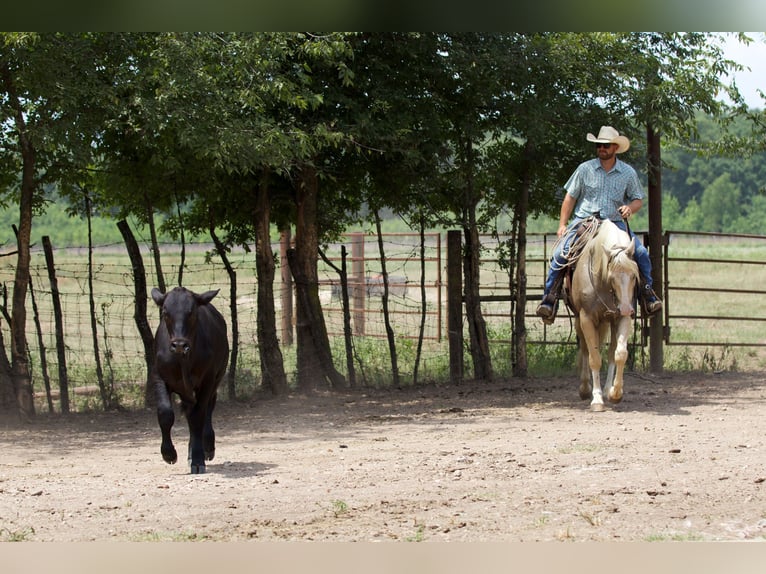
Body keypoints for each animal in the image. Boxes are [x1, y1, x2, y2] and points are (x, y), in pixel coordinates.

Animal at [152, 286, 230, 474]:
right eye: (165, 312)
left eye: (192, 311)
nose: (179, 345)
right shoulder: (158, 376)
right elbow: (165, 413)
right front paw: (168, 453)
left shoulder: (208, 379)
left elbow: (198, 416)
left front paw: (197, 459)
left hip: (217, 377)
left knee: (206, 410)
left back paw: (206, 447)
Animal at [568, 220, 640, 414]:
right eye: (612, 277)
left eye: (633, 276)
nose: (625, 308)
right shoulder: (586, 318)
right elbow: (594, 358)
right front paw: (597, 399)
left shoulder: (622, 318)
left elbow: (619, 354)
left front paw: (615, 393)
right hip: (579, 320)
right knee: (586, 350)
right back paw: (585, 389)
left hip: (607, 322)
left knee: (609, 351)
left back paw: (607, 390)